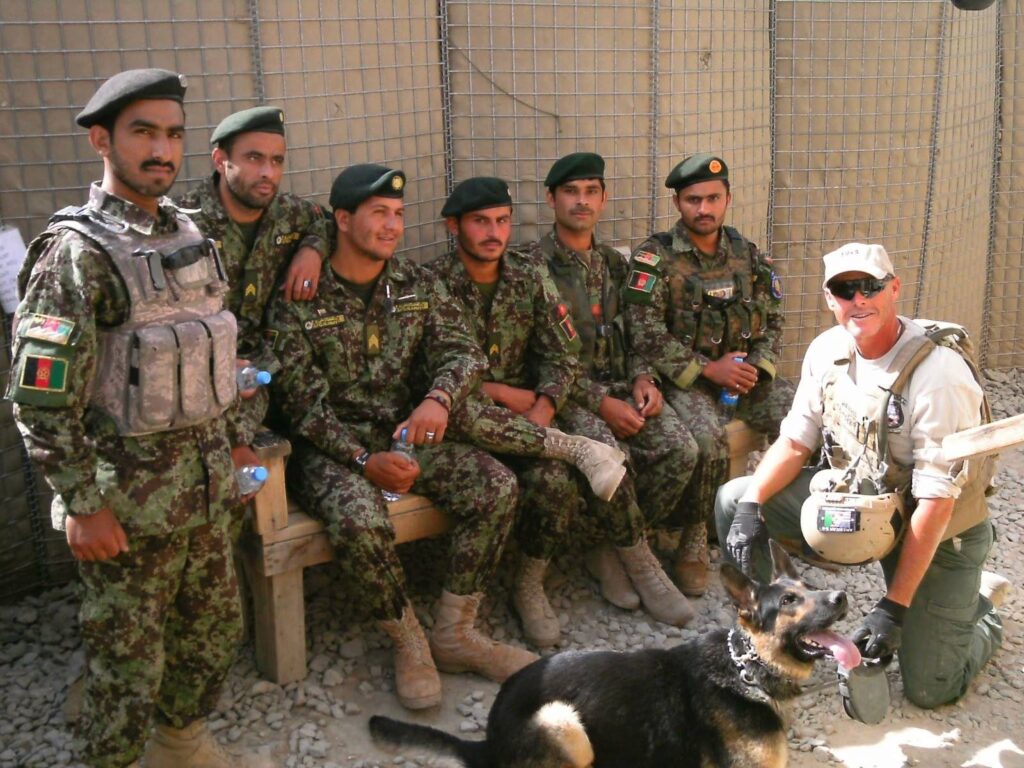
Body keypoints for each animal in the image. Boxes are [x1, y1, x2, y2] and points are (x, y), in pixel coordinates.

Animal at [369, 540, 859, 768]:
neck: (747, 671)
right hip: (561, 721)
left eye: (810, 587)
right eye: (790, 601)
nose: (841, 597)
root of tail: (489, 741)